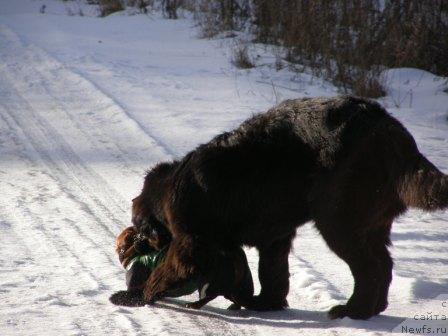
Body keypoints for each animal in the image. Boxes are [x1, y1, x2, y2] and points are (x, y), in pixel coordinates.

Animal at [131, 96, 446, 318]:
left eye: (141, 233)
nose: (136, 246)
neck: (168, 188)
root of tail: (393, 133)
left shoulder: (188, 240)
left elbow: (170, 268)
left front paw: (142, 293)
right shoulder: (275, 237)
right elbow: (272, 271)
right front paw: (266, 303)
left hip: (339, 220)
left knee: (371, 267)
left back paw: (353, 311)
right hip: (371, 222)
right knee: (384, 263)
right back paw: (373, 308)